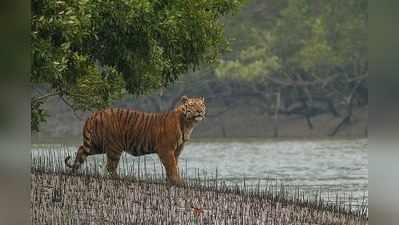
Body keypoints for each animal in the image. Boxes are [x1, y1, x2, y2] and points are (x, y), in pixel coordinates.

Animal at [65, 95, 206, 185]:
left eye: (202, 105)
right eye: (192, 105)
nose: (200, 111)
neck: (188, 124)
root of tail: (94, 114)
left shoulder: (176, 151)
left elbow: (174, 165)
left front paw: (171, 181)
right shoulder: (166, 149)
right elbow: (171, 166)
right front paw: (177, 182)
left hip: (97, 144)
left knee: (81, 150)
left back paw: (73, 172)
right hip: (114, 146)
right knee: (110, 166)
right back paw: (121, 178)